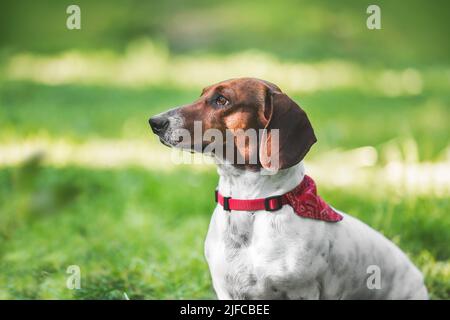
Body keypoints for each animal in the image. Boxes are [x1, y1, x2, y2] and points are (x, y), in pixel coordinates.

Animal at [149, 77, 428, 300]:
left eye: (221, 99)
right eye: (202, 94)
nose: (155, 121)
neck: (251, 205)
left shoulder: (301, 291)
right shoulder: (226, 290)